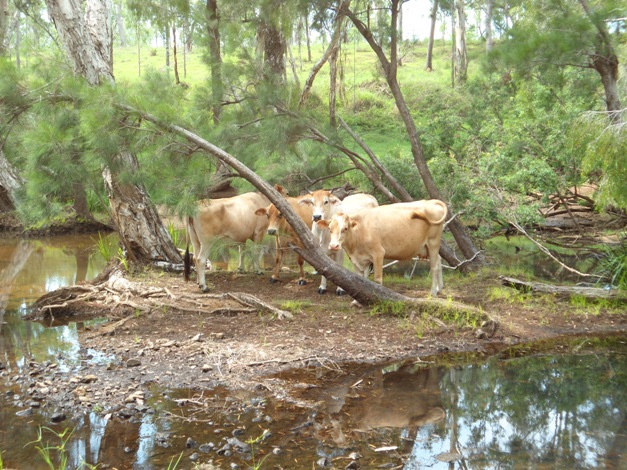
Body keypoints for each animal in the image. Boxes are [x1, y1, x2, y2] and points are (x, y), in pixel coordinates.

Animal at [318, 199, 446, 296]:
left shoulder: (378, 253)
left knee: (434, 267)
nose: (333, 245)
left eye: (345, 228)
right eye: (329, 229)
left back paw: (433, 292)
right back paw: (439, 288)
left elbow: (377, 279)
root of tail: (429, 201)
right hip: (429, 247)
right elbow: (360, 280)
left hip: (433, 242)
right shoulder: (357, 259)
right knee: (439, 261)